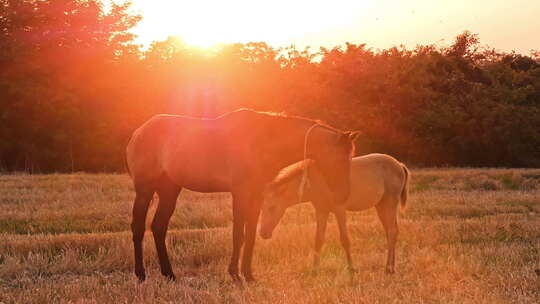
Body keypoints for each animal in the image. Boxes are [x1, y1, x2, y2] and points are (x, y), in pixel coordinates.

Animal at [126, 108, 358, 282]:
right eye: (340, 158)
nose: (344, 195)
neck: (263, 140)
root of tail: (138, 133)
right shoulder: (240, 193)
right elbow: (238, 235)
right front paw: (235, 274)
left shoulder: (256, 195)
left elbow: (251, 235)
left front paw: (248, 274)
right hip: (145, 190)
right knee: (138, 227)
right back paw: (141, 274)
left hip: (169, 191)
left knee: (158, 227)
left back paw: (169, 274)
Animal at [260, 153, 408, 274]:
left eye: (272, 207)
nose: (263, 233)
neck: (317, 180)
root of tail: (399, 165)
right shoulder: (321, 211)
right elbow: (318, 239)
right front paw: (315, 270)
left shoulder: (339, 210)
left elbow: (345, 240)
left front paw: (351, 269)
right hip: (381, 206)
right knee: (392, 231)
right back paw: (392, 266)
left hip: (389, 203)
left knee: (391, 231)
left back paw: (388, 268)